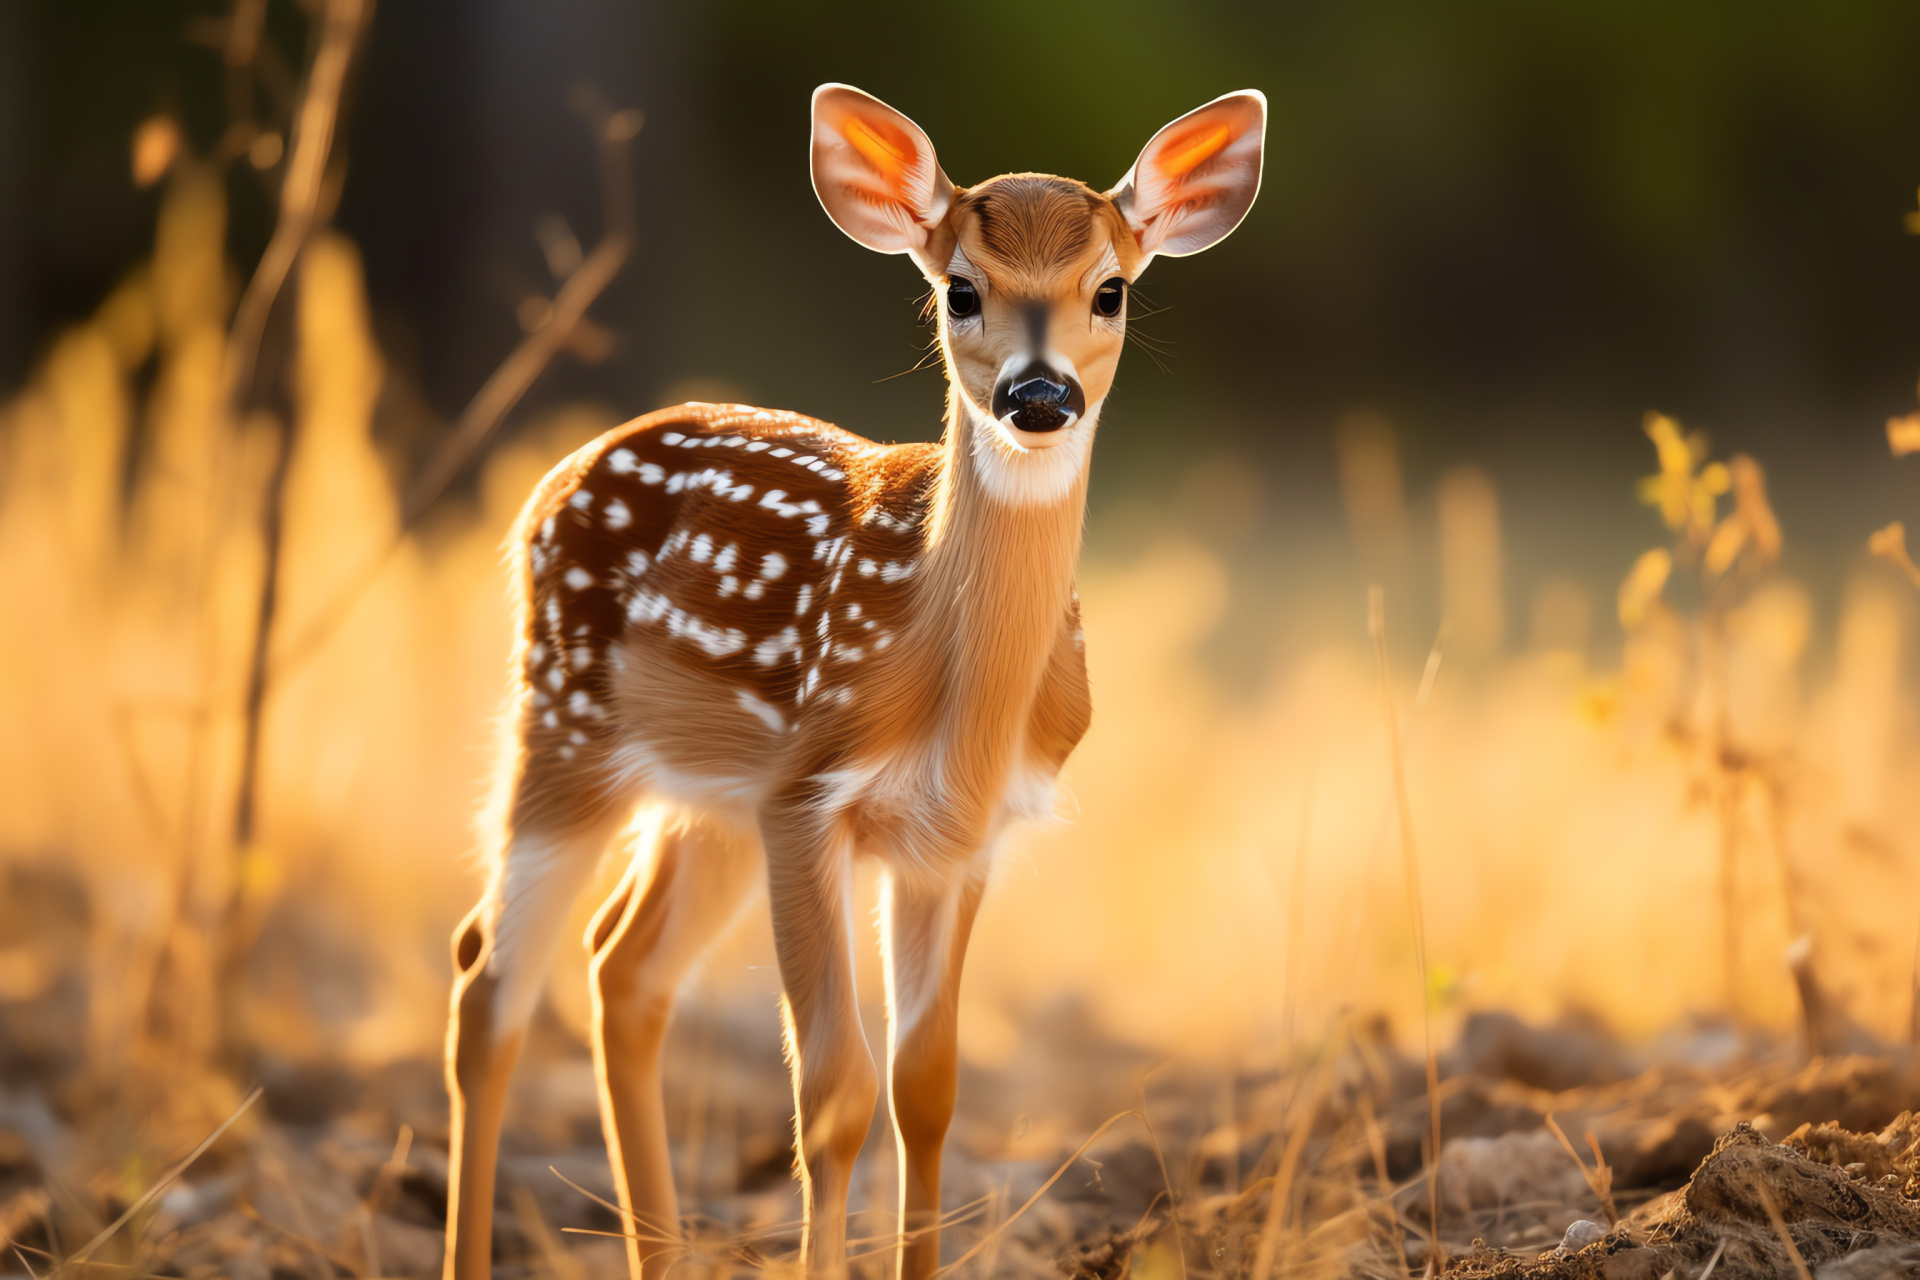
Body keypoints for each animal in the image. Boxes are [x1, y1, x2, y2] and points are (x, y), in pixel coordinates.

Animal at [441, 82, 1267, 1280]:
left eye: (1109, 289)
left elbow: (926, 1089)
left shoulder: (959, 840)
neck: (958, 697)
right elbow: (832, 1097)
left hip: (707, 804)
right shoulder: (807, 798)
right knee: (488, 979)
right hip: (565, 722)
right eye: (960, 288)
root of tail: (558, 476)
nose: (1039, 395)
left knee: (620, 969)